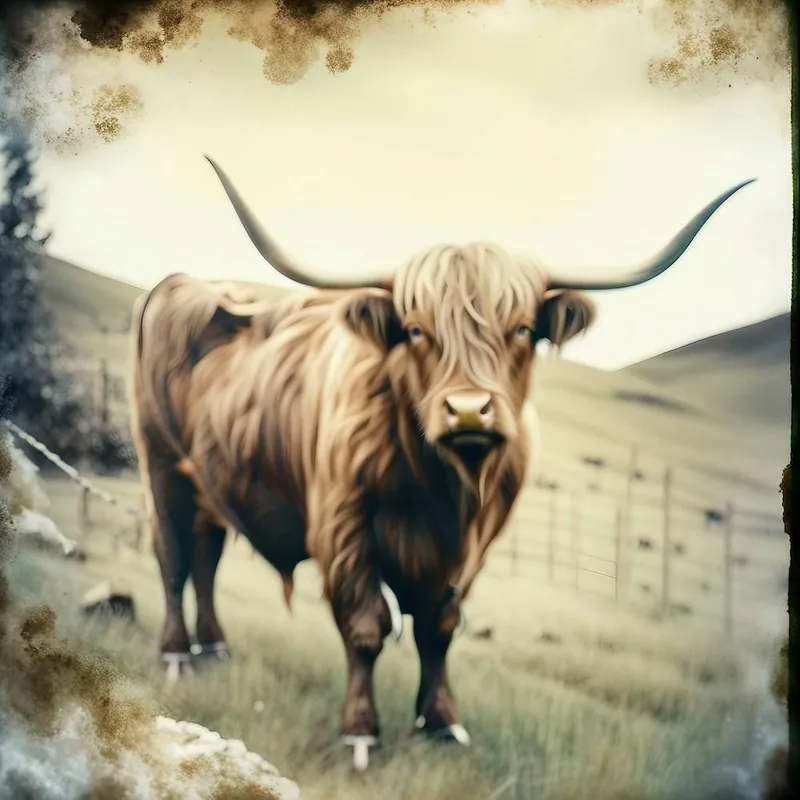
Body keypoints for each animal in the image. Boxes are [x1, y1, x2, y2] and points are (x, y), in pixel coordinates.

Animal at [130, 156, 753, 770]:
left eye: (522, 329)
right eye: (415, 329)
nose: (470, 410)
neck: (439, 488)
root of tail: (182, 284)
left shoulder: (469, 550)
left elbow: (440, 631)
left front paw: (442, 723)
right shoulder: (344, 530)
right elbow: (365, 628)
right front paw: (361, 732)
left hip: (210, 483)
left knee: (206, 555)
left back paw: (215, 647)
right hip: (162, 468)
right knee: (174, 557)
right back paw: (177, 654)